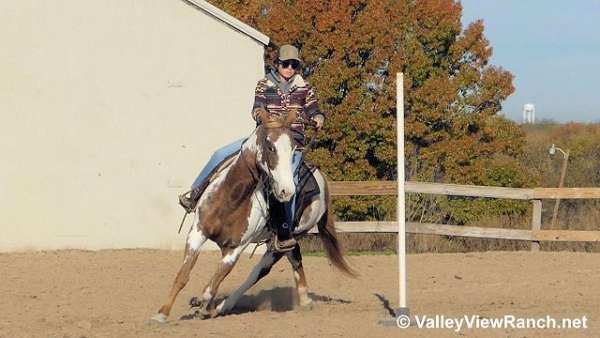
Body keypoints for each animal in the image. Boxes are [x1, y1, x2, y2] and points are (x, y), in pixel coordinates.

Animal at [152, 111, 354, 322]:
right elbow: (183, 275)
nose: (287, 190)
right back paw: (305, 299)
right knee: (295, 258)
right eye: (270, 146)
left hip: (282, 243)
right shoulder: (197, 232)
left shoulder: (235, 248)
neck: (231, 198)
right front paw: (162, 314)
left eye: (293, 149)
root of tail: (323, 183)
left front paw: (201, 305)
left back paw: (223, 307)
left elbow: (211, 286)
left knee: (259, 271)